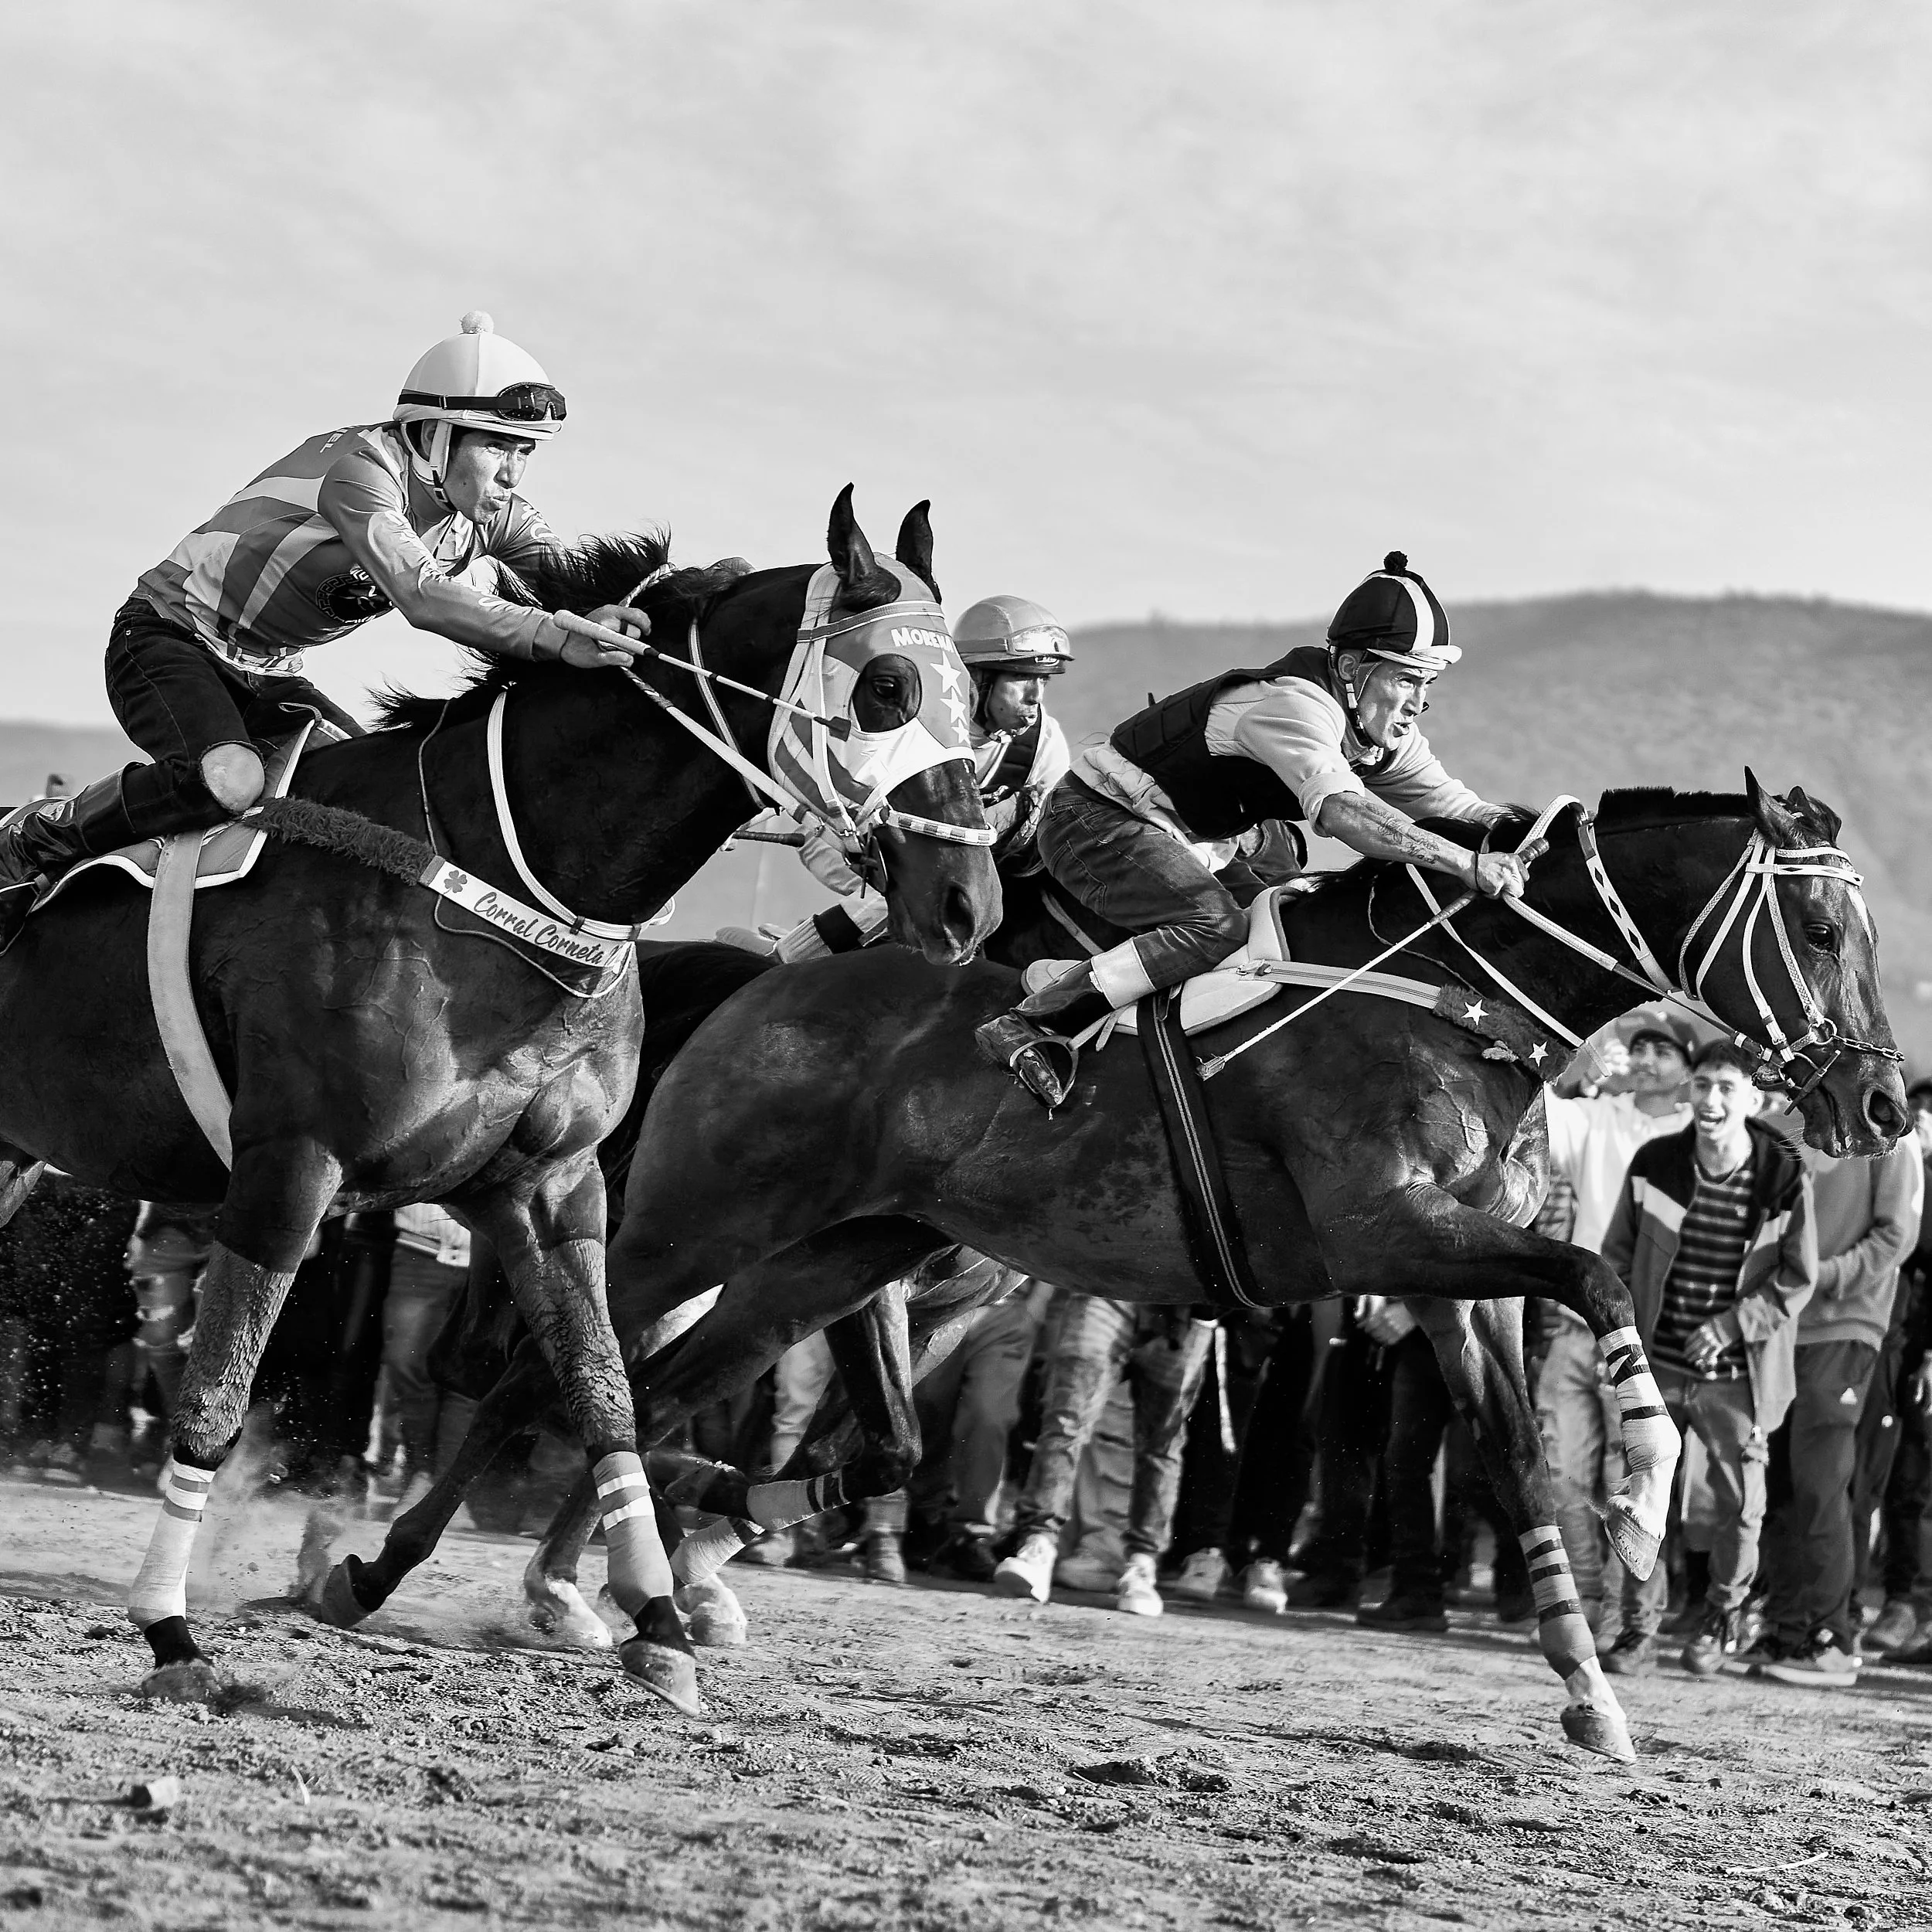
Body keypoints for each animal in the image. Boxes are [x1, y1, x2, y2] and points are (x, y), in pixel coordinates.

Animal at [0, 487, 1000, 1714]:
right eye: (889, 688)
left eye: (975, 707)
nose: (967, 904)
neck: (500, 881)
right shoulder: (293, 1167)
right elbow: (216, 1400)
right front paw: (173, 1635)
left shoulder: (550, 1187)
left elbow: (598, 1388)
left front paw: (657, 1621)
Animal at [433, 776, 1898, 1761]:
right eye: (1824, 932)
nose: (1880, 1105)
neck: (1459, 1003)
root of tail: (753, 981)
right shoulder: (1391, 1232)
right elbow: (1595, 1283)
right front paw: (1646, 1481)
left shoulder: (1451, 1286)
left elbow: (1520, 1456)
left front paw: (1593, 1690)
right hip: (703, 1221)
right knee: (561, 1372)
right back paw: (508, 1578)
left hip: (844, 1250)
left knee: (662, 1391)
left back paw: (619, 1590)